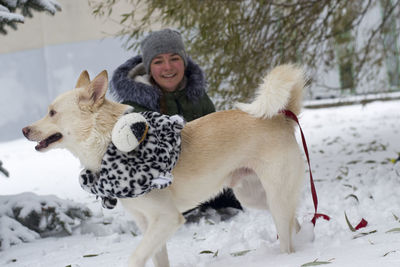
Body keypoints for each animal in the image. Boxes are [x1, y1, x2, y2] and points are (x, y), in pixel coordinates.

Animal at [22, 65, 306, 267]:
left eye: (52, 112)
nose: (24, 130)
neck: (107, 143)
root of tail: (281, 117)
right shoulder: (148, 224)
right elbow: (158, 259)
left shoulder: (167, 219)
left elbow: (136, 257)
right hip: (254, 197)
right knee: (296, 224)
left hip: (275, 198)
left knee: (288, 236)